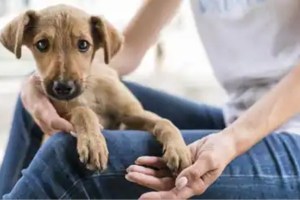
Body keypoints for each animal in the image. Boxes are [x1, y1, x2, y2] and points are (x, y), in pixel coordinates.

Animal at [0, 4, 191, 172]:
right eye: (41, 44)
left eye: (83, 44)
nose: (63, 87)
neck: (88, 92)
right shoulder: (59, 118)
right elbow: (83, 111)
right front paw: (93, 143)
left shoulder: (132, 114)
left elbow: (165, 122)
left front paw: (179, 149)